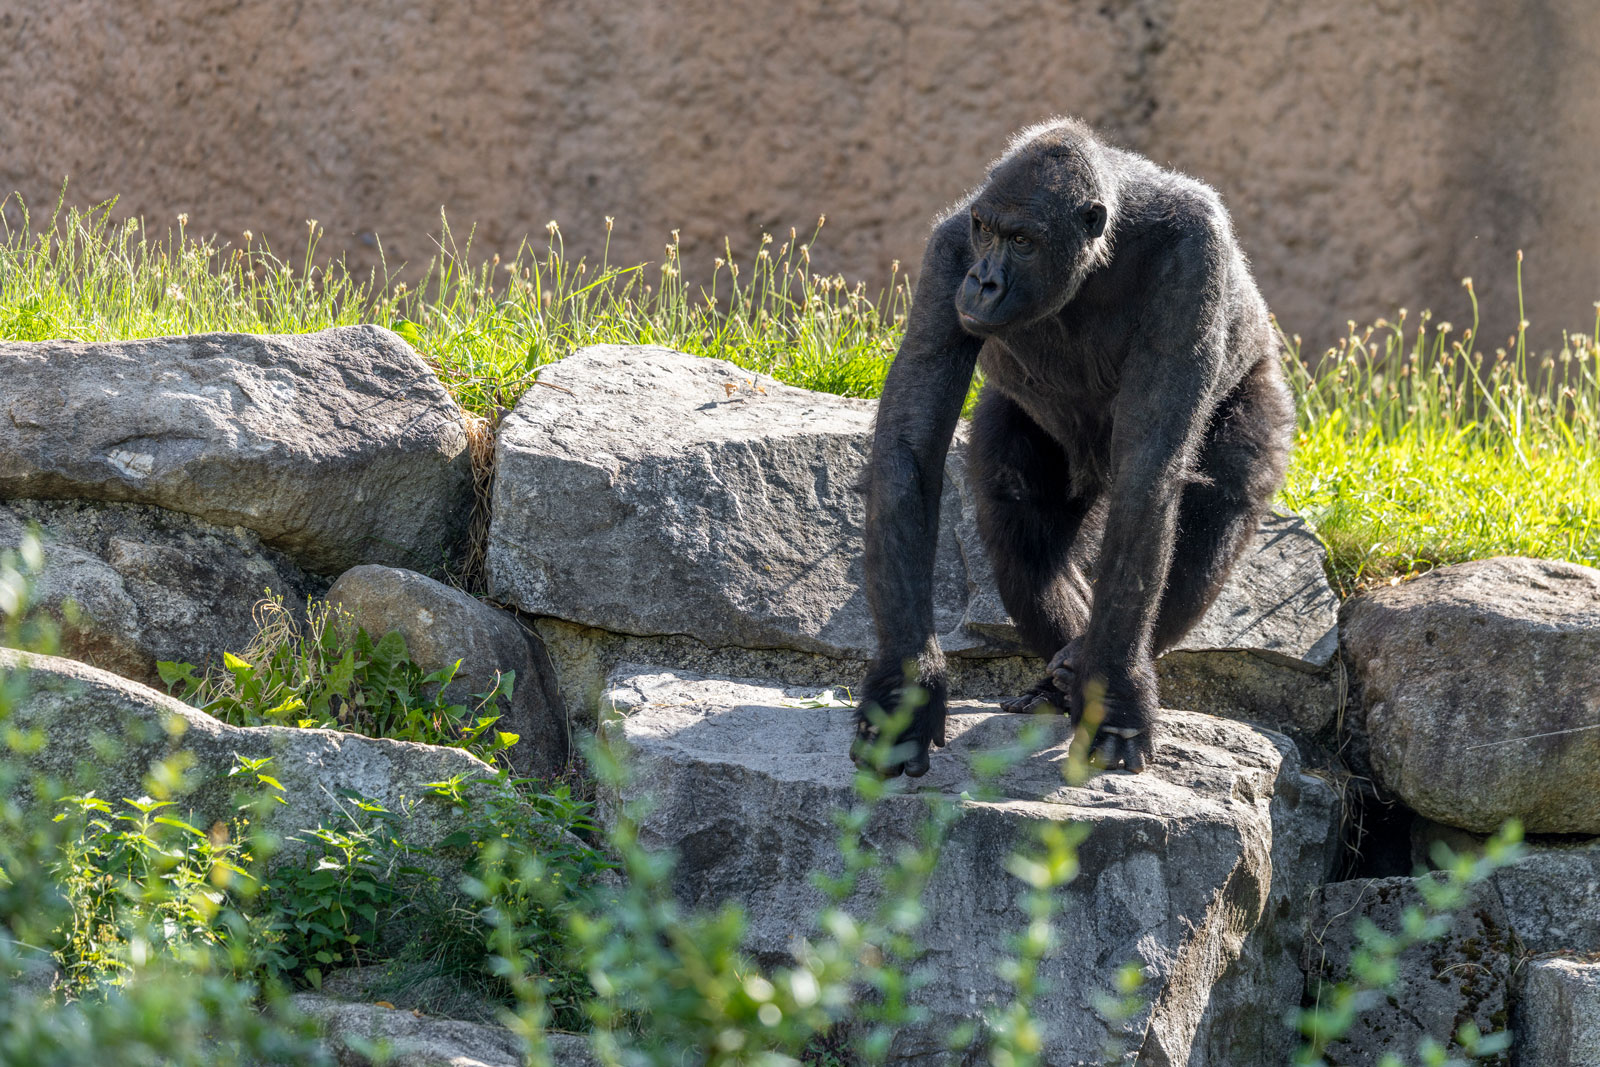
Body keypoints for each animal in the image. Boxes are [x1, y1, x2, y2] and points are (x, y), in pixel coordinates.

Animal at [854, 118, 1292, 777]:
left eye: (1023, 241)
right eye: (987, 232)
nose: (984, 282)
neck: (1092, 259)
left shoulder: (1196, 256)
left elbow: (1148, 477)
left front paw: (1115, 697)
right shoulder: (948, 254)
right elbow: (910, 450)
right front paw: (907, 693)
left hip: (1263, 383)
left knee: (1216, 511)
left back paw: (1079, 667)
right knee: (1022, 531)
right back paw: (1059, 673)